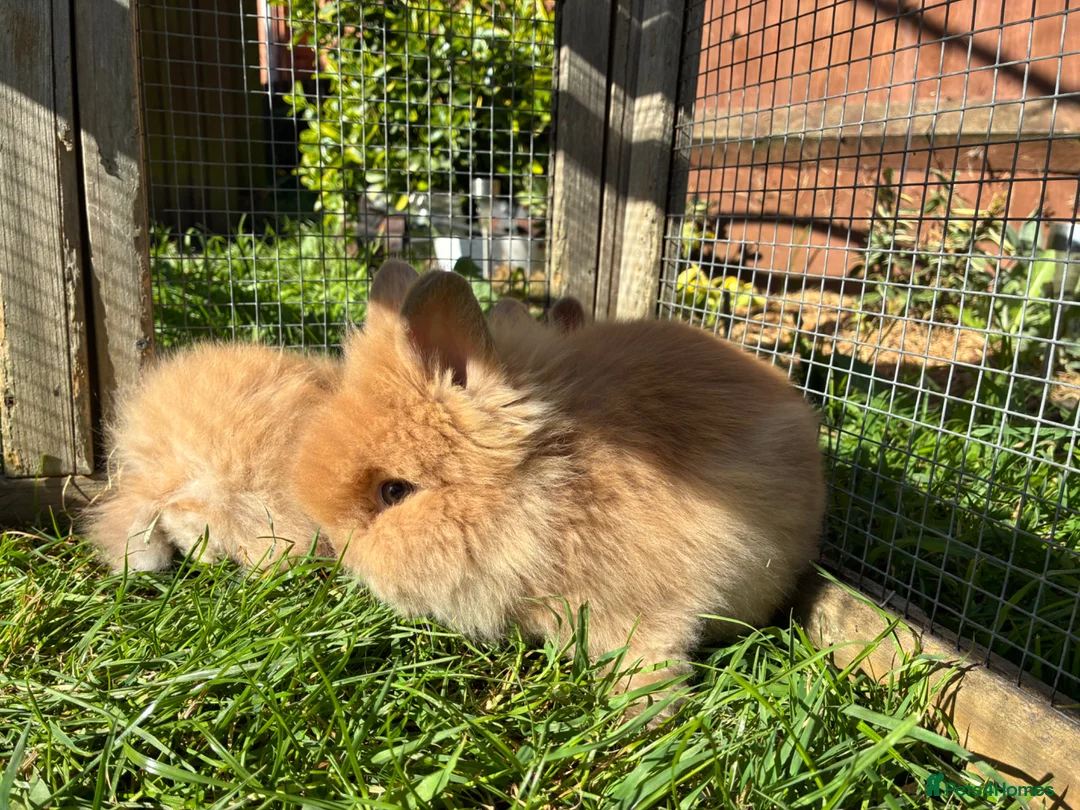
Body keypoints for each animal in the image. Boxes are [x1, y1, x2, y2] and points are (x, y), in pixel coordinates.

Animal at [293, 263, 825, 713]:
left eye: (394, 492)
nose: (336, 552)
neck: (555, 488)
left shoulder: (650, 606)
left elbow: (650, 655)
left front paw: (646, 716)